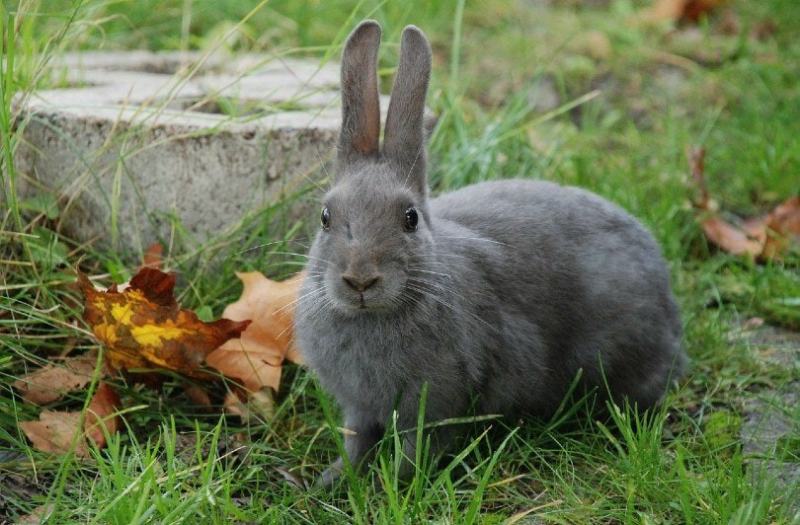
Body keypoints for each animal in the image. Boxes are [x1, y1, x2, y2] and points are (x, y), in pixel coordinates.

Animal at [296, 21, 684, 488]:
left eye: (410, 218)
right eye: (325, 217)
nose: (360, 279)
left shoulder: (435, 402)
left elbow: (415, 450)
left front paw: (392, 484)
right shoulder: (360, 407)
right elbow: (357, 442)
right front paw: (333, 480)